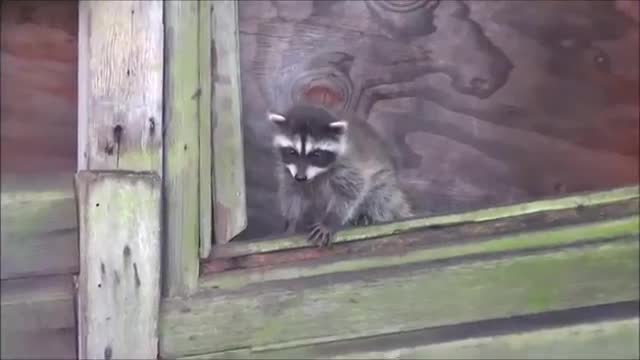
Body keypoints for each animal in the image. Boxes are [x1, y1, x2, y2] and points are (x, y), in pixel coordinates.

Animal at [266, 102, 412, 246]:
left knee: (381, 196)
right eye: (292, 152)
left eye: (316, 154)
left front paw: (330, 220)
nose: (301, 177)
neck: (317, 174)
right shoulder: (288, 170)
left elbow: (350, 191)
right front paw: (291, 221)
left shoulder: (348, 163)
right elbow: (291, 191)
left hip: (385, 178)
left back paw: (368, 214)